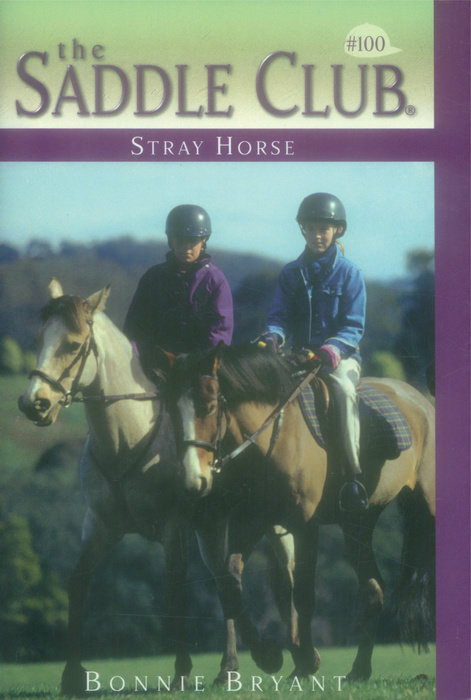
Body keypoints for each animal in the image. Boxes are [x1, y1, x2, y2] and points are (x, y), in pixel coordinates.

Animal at [18, 280, 298, 693]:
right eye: (38, 339)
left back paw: (296, 658)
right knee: (226, 580)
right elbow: (78, 583)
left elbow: (175, 589)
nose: (33, 403)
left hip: (271, 523)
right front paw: (72, 674)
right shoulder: (99, 526)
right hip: (213, 529)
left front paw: (181, 670)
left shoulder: (172, 529)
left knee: (286, 573)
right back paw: (231, 667)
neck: (125, 438)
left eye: (73, 344)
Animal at [165, 341, 436, 681]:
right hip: (357, 523)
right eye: (172, 411)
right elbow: (230, 579)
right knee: (373, 589)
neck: (275, 436)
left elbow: (303, 593)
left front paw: (305, 661)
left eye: (210, 407)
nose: (193, 480)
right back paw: (359, 670)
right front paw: (267, 655)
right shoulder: (251, 520)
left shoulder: (306, 525)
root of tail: (421, 401)